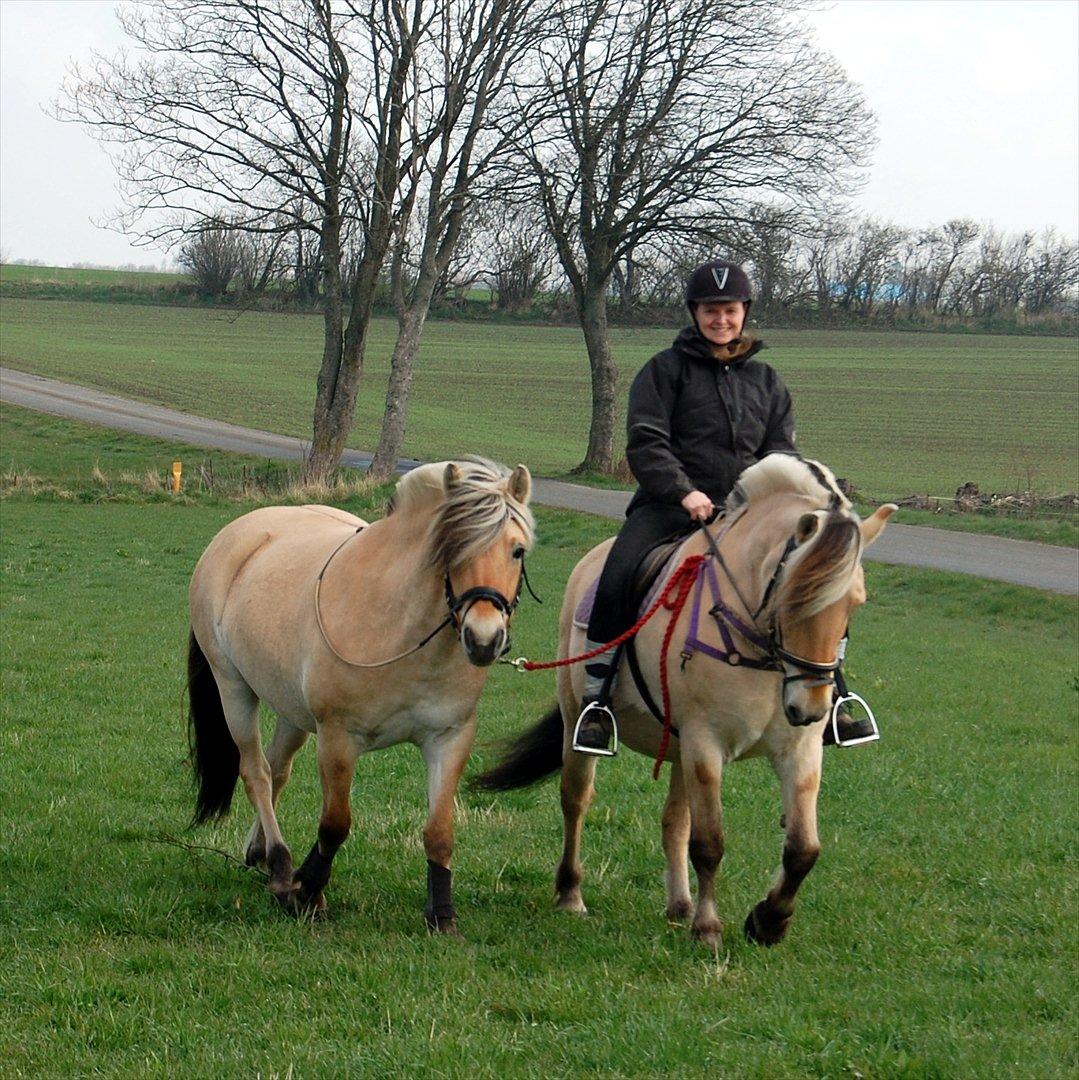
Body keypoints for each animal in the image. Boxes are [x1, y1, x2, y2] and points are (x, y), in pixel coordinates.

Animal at [192, 455, 537, 928]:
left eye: (517, 550)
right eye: (452, 549)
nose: (483, 639)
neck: (401, 633)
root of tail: (236, 534)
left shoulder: (449, 739)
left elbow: (439, 830)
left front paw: (442, 915)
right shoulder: (339, 739)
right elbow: (335, 824)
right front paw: (306, 891)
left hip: (292, 713)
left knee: (278, 769)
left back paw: (260, 853)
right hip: (235, 691)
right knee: (257, 773)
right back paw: (280, 868)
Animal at [477, 453, 898, 946]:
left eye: (856, 603)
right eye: (792, 600)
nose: (808, 708)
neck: (757, 653)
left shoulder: (798, 749)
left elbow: (802, 847)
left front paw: (768, 921)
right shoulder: (706, 743)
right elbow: (710, 841)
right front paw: (709, 928)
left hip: (680, 749)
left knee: (673, 821)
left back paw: (679, 905)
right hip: (585, 723)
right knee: (576, 801)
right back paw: (571, 895)